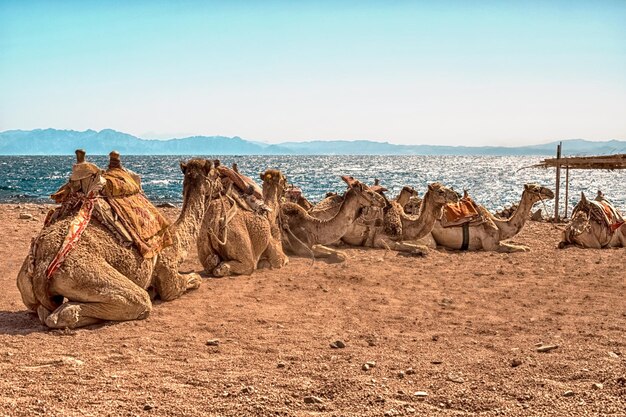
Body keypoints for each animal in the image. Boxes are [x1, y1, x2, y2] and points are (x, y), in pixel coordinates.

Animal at [15, 158, 216, 328]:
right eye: (216, 173)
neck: (176, 238)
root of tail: (41, 266)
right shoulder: (168, 270)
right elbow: (186, 283)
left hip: (25, 284)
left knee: (43, 310)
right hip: (86, 273)